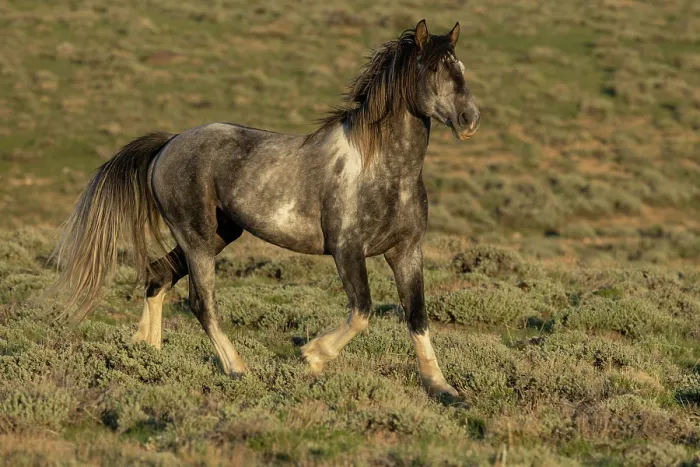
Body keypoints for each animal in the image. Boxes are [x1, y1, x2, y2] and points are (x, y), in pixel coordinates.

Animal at [51, 19, 480, 400]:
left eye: (460, 67)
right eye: (432, 69)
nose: (469, 119)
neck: (384, 170)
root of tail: (168, 144)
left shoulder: (406, 251)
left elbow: (417, 316)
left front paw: (443, 388)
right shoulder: (346, 250)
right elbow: (362, 311)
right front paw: (311, 356)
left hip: (218, 234)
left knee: (158, 276)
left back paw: (147, 350)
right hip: (197, 240)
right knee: (201, 304)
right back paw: (237, 368)